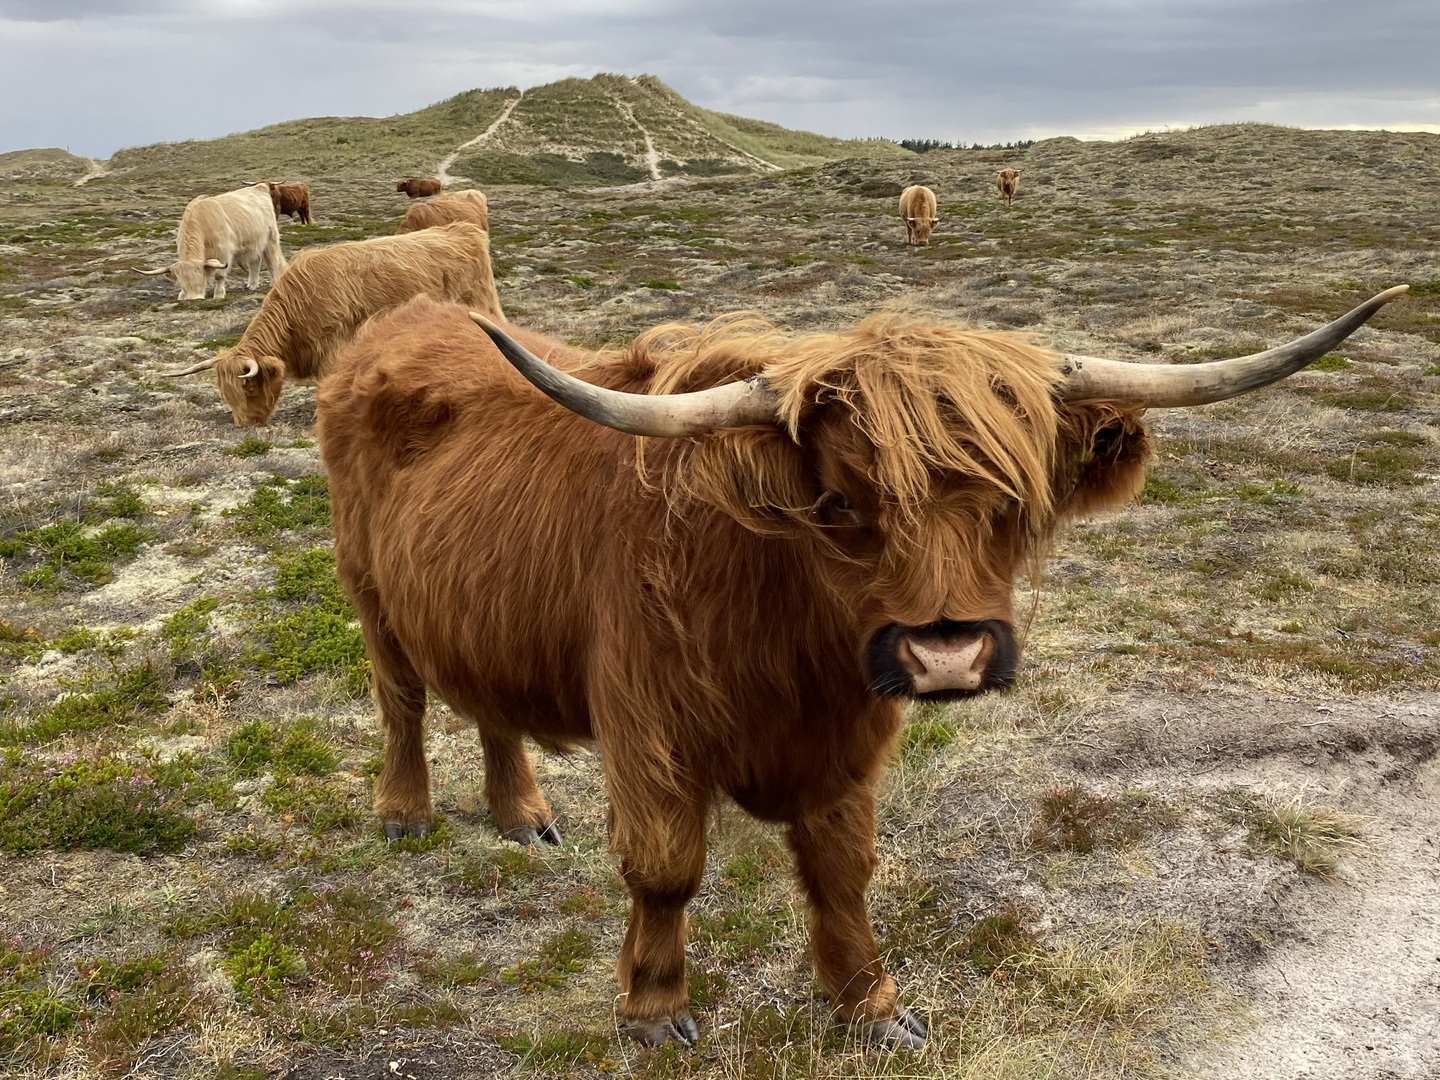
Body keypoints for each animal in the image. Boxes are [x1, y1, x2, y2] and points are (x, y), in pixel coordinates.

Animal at [133, 182, 285, 300]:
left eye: (201, 278)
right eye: (181, 283)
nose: (194, 299)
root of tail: (260, 187)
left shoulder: (222, 252)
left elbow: (219, 275)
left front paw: (219, 294)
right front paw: (182, 295)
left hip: (270, 238)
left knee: (272, 262)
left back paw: (273, 283)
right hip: (253, 243)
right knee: (255, 261)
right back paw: (252, 285)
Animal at [164, 221, 504, 426]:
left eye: (247, 386)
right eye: (225, 392)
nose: (245, 424)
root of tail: (462, 229)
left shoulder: (334, 346)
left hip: (480, 304)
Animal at [315, 285, 1405, 1048]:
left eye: (1012, 502)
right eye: (840, 502)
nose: (947, 650)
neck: (785, 634)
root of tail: (399, 322)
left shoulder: (848, 741)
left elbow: (842, 869)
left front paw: (873, 1006)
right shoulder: (650, 730)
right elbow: (666, 869)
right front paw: (652, 1010)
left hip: (471, 603)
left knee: (486, 702)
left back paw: (522, 814)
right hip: (371, 593)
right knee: (404, 701)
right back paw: (407, 814)